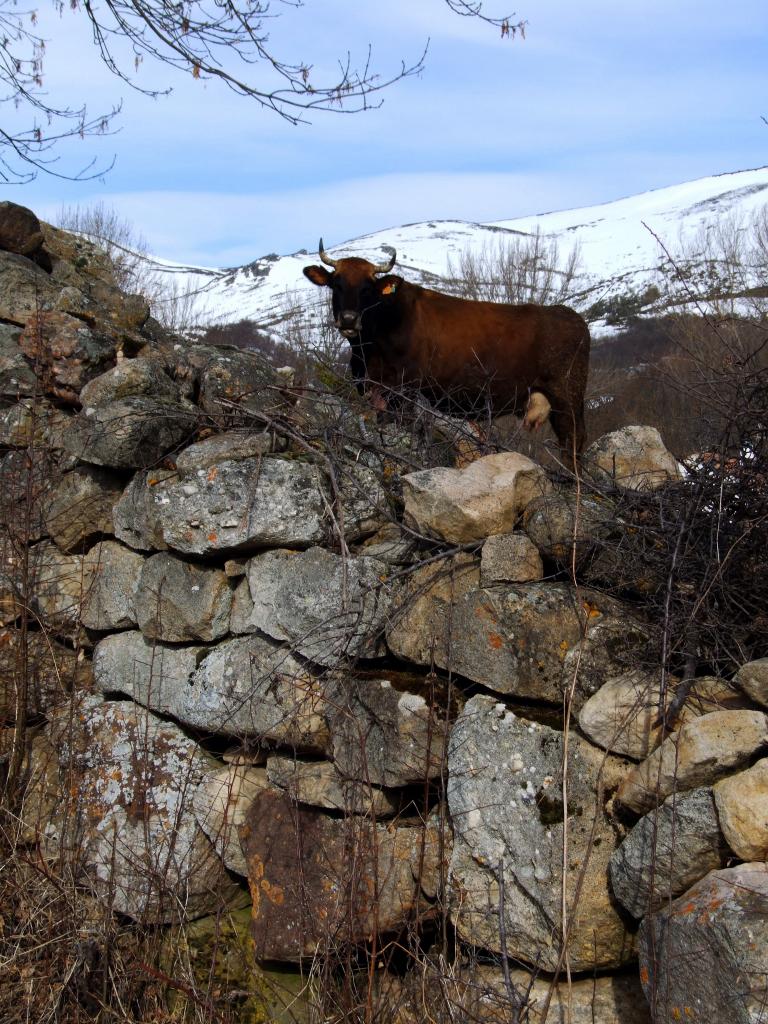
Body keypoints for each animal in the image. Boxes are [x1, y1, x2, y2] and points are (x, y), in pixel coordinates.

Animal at [303, 239, 593, 456]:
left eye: (368, 289)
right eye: (336, 284)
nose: (348, 319)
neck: (368, 350)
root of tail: (570, 315)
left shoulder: (405, 389)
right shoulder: (375, 387)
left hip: (567, 394)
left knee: (574, 441)